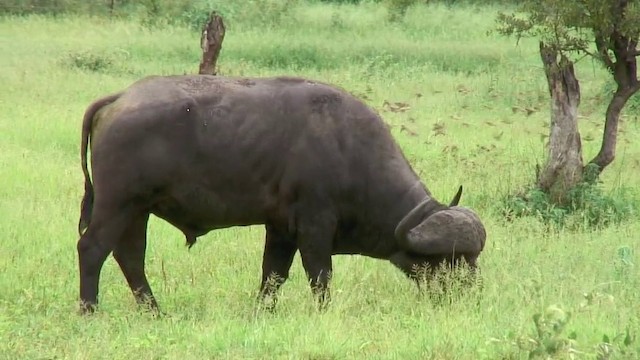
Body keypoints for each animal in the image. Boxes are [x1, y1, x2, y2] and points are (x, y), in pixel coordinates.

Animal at [75, 75, 484, 312]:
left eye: (472, 259)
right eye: (451, 261)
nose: (473, 294)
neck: (348, 148)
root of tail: (120, 98)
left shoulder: (281, 228)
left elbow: (273, 275)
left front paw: (263, 311)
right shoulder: (315, 225)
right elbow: (320, 276)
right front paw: (323, 313)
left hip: (137, 210)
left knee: (130, 256)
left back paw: (154, 310)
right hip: (118, 204)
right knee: (93, 249)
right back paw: (89, 309)